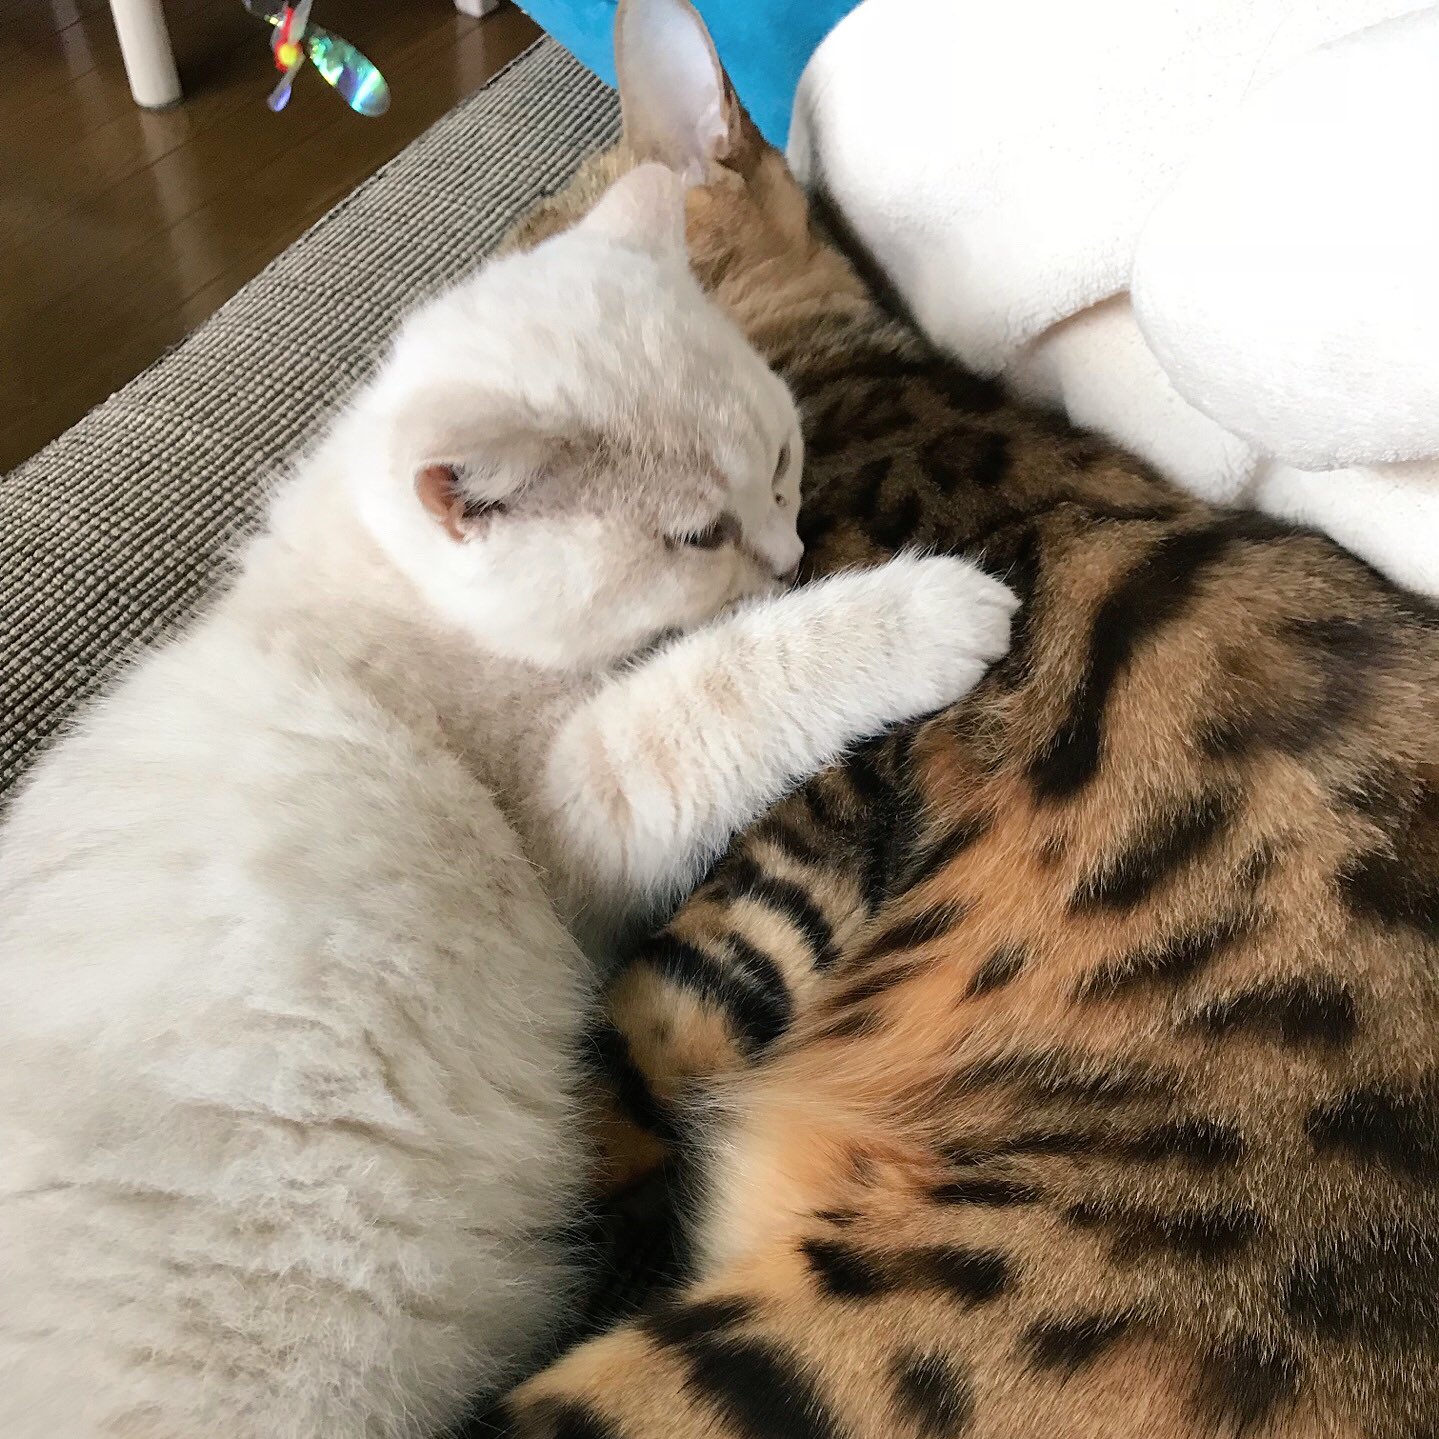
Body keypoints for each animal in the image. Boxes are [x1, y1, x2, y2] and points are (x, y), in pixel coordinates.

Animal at [0, 162, 1016, 1439]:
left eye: (784, 458)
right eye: (697, 533)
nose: (787, 555)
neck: (388, 601)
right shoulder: (582, 803)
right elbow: (730, 679)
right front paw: (929, 609)